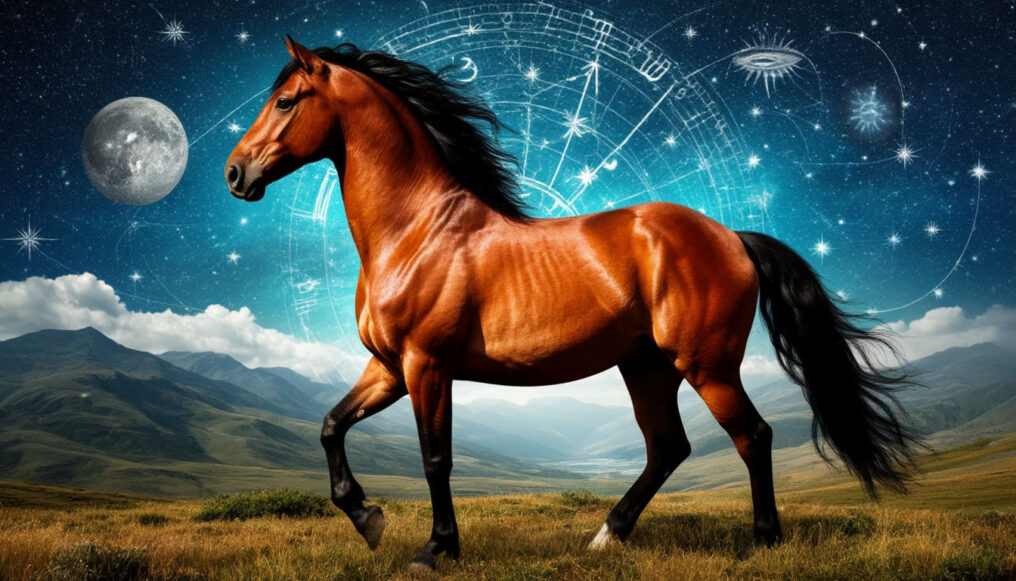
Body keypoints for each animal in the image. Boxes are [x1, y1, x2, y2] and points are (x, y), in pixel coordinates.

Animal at [226, 37, 921, 573]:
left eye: (285, 101)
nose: (235, 174)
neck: (416, 231)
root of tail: (732, 237)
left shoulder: (427, 366)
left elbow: (435, 458)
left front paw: (435, 550)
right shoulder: (389, 368)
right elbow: (330, 425)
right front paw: (369, 518)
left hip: (707, 365)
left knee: (752, 435)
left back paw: (763, 545)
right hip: (646, 367)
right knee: (668, 448)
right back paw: (606, 537)